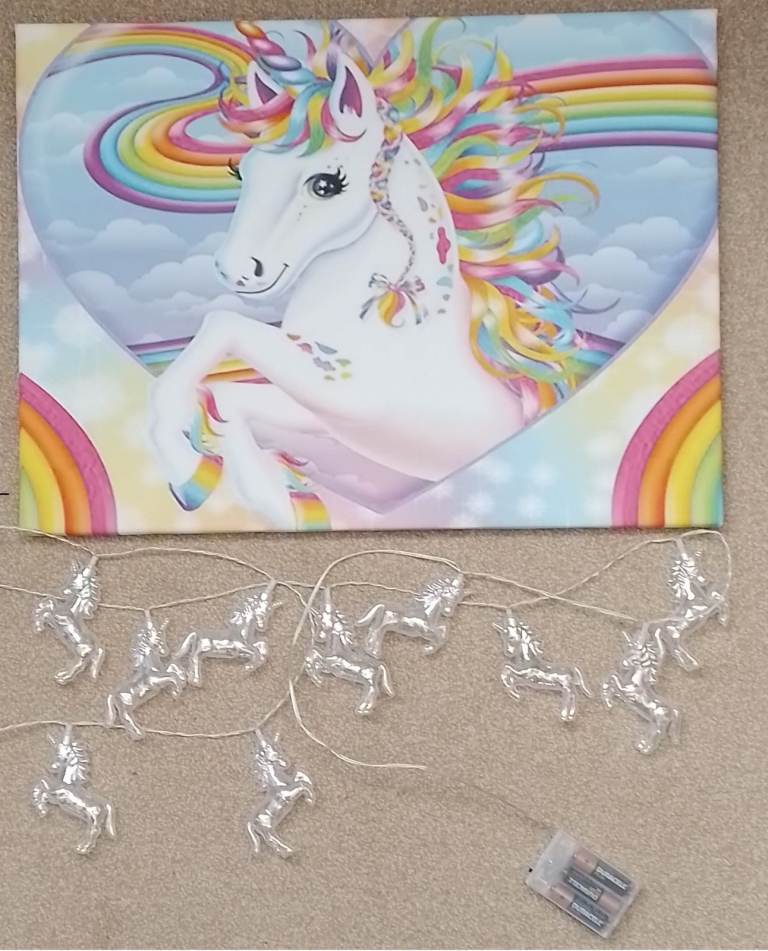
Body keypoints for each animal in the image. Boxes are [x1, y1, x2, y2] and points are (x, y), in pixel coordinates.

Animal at [31, 725, 115, 855]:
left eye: (61, 753)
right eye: (53, 752)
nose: (52, 767)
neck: (68, 782)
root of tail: (106, 805)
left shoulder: (57, 795)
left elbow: (41, 785)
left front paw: (42, 810)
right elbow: (42, 786)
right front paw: (42, 808)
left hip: (93, 819)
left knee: (94, 831)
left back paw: (82, 849)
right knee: (92, 831)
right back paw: (83, 847)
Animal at [147, 22, 604, 528]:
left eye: (326, 184)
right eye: (240, 173)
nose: (236, 271)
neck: (405, 321)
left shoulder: (351, 393)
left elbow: (225, 338)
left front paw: (245, 490)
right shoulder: (324, 407)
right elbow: (228, 390)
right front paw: (208, 476)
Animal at [600, 623, 681, 754]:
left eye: (635, 656)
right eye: (627, 650)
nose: (622, 663)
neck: (636, 679)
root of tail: (672, 710)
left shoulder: (628, 692)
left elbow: (614, 678)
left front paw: (607, 701)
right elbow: (611, 680)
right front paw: (607, 700)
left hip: (659, 722)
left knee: (658, 733)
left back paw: (644, 748)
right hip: (654, 721)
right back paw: (642, 744)